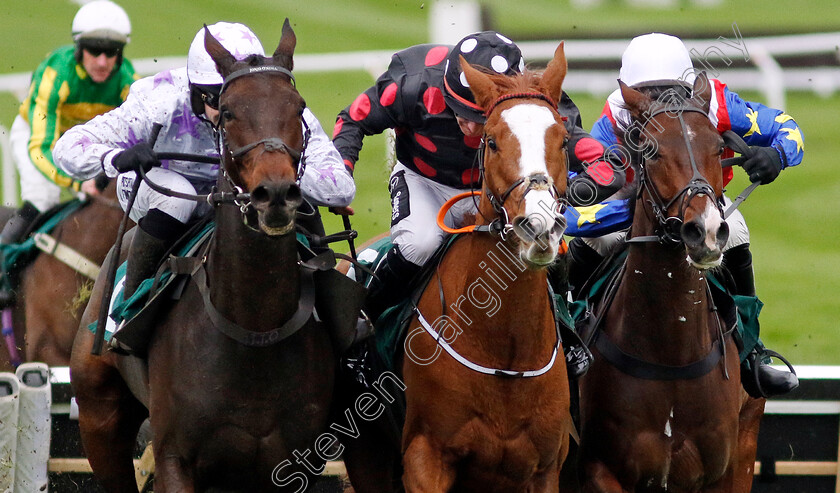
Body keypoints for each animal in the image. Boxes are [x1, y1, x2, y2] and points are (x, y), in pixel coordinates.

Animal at [69, 21, 338, 490]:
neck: (254, 329)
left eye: (299, 106)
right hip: (99, 414)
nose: (276, 194)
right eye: (227, 110)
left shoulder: (295, 461)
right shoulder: (175, 457)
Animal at [580, 74, 764, 492]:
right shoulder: (600, 468)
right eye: (650, 150)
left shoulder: (722, 468)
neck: (671, 355)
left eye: (718, 147)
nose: (706, 231)